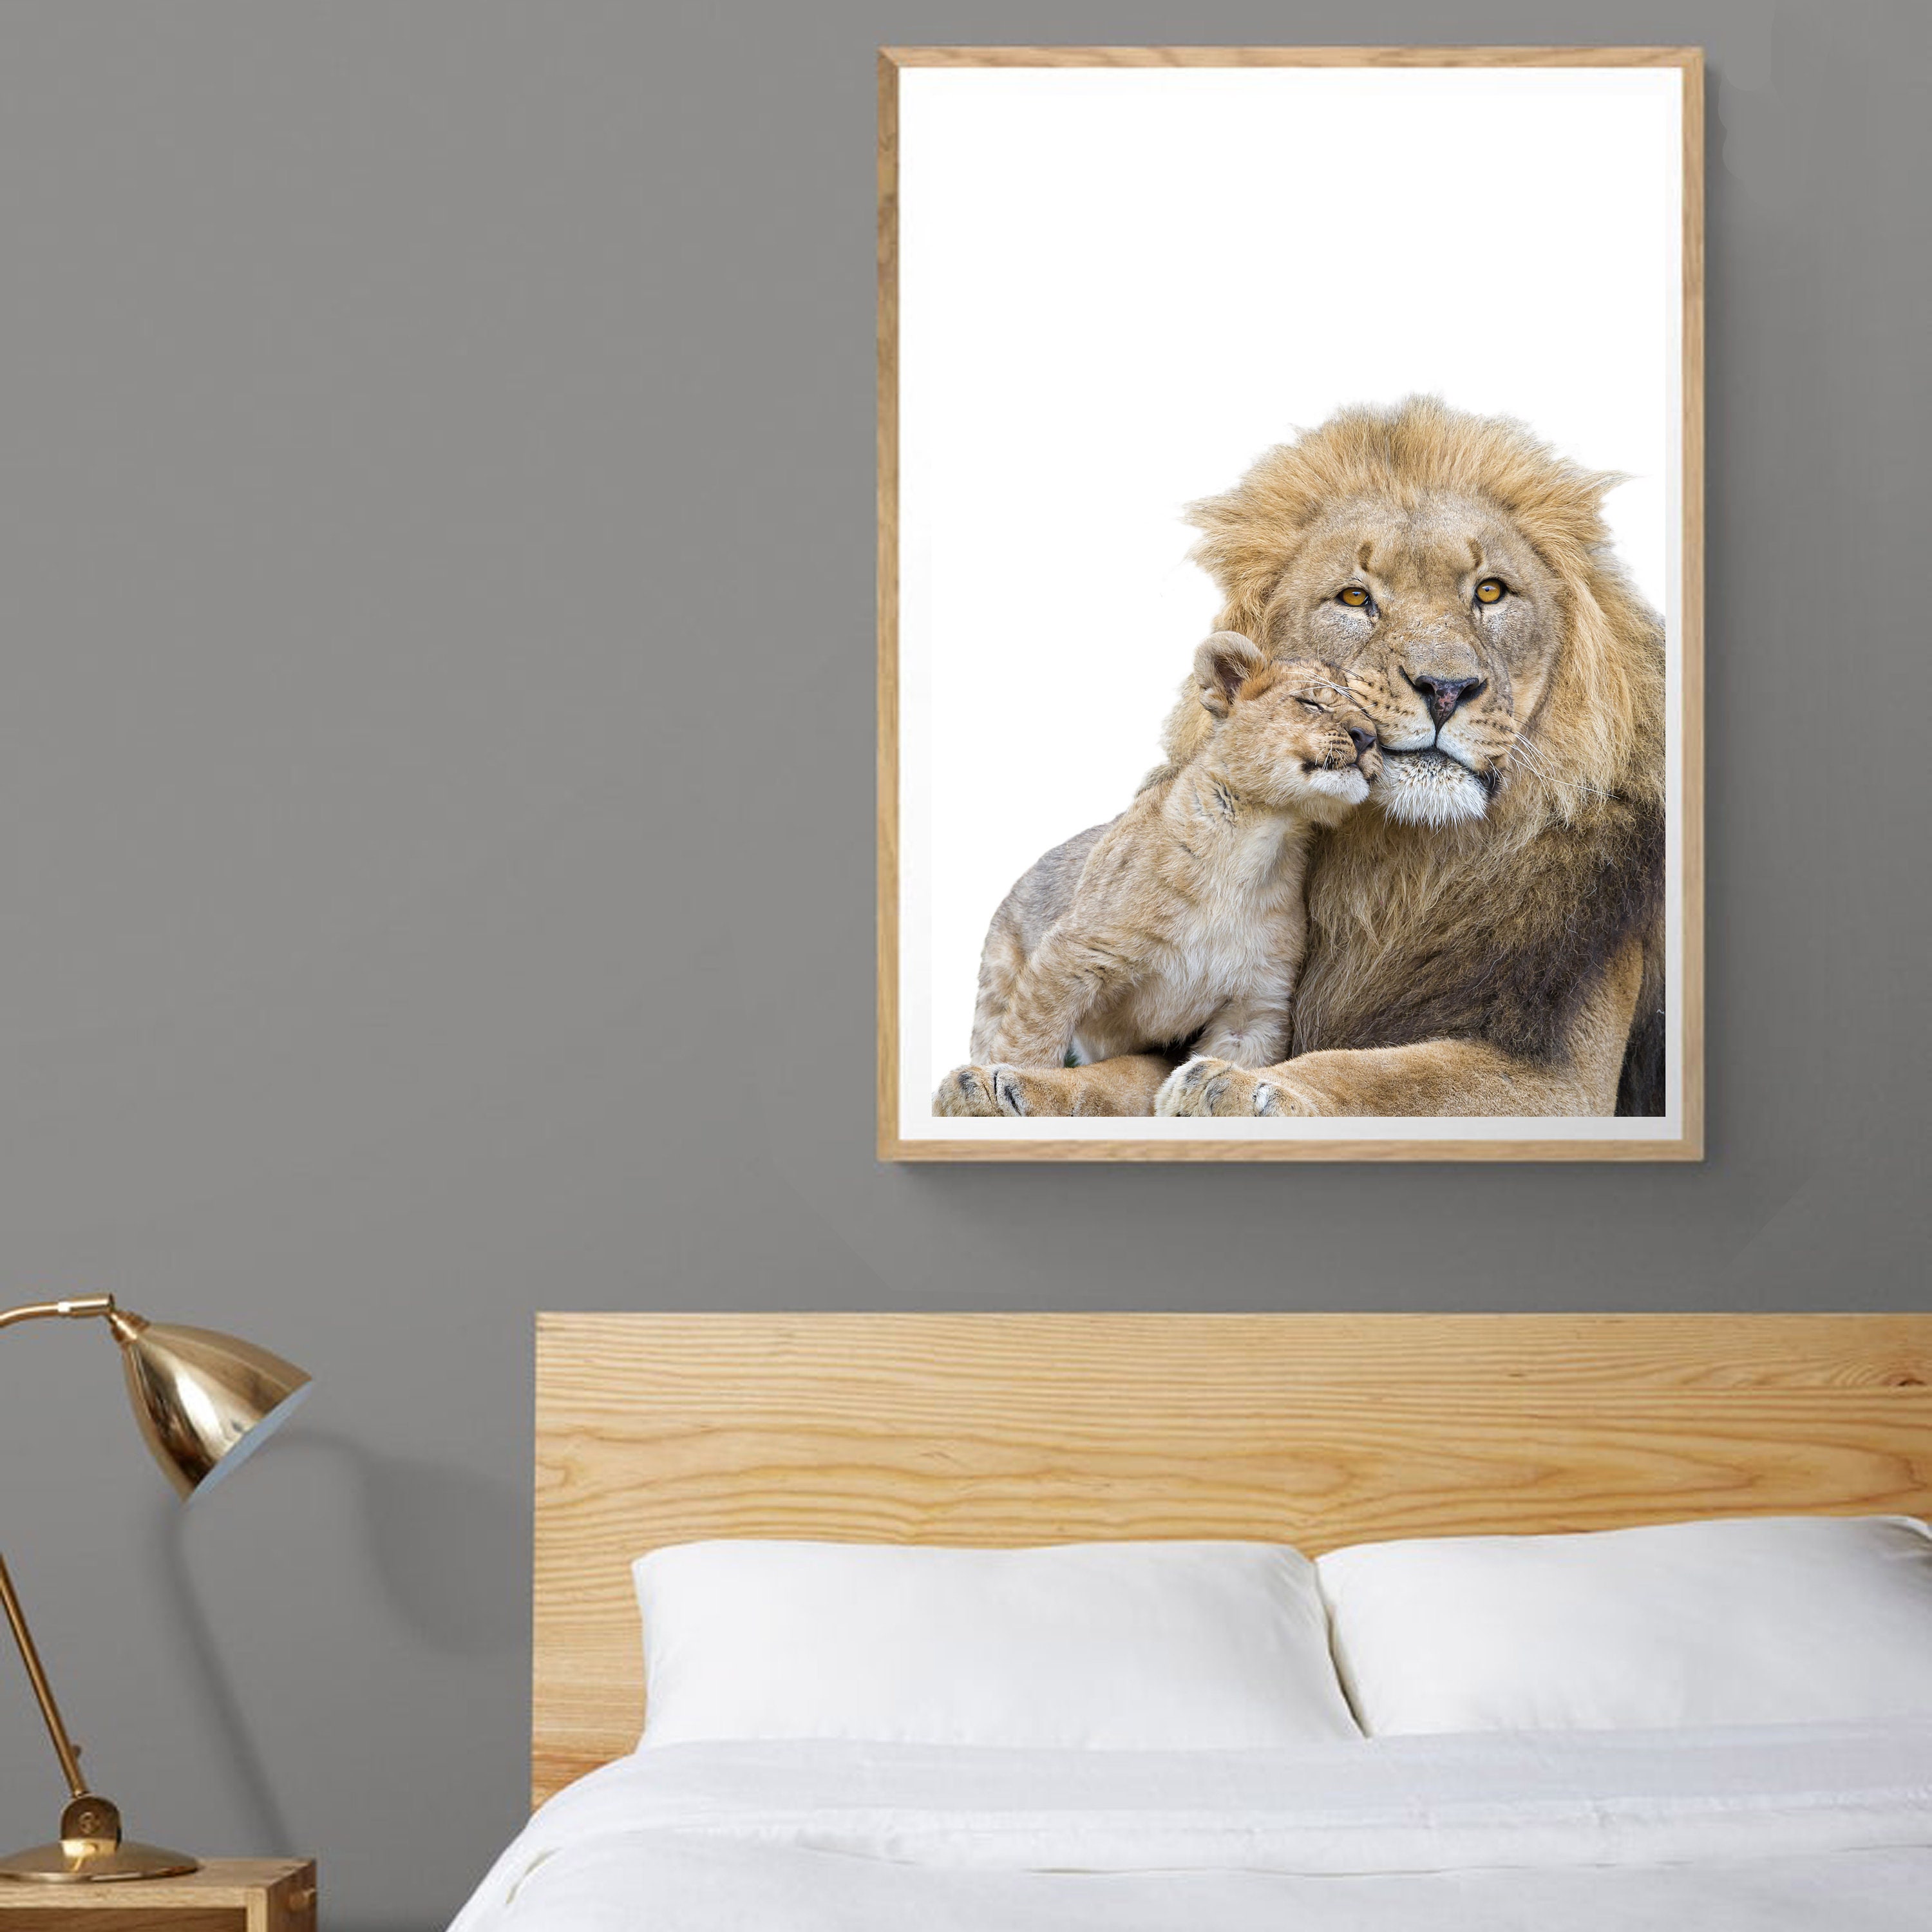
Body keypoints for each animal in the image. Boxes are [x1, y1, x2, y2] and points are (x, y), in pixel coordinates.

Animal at [934, 640, 1379, 1119]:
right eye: (1312, 703)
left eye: (1371, 719)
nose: (1368, 738)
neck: (1259, 842)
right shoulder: (1071, 955)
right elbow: (1029, 1044)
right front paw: (1004, 1088)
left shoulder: (1255, 1004)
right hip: (999, 978)